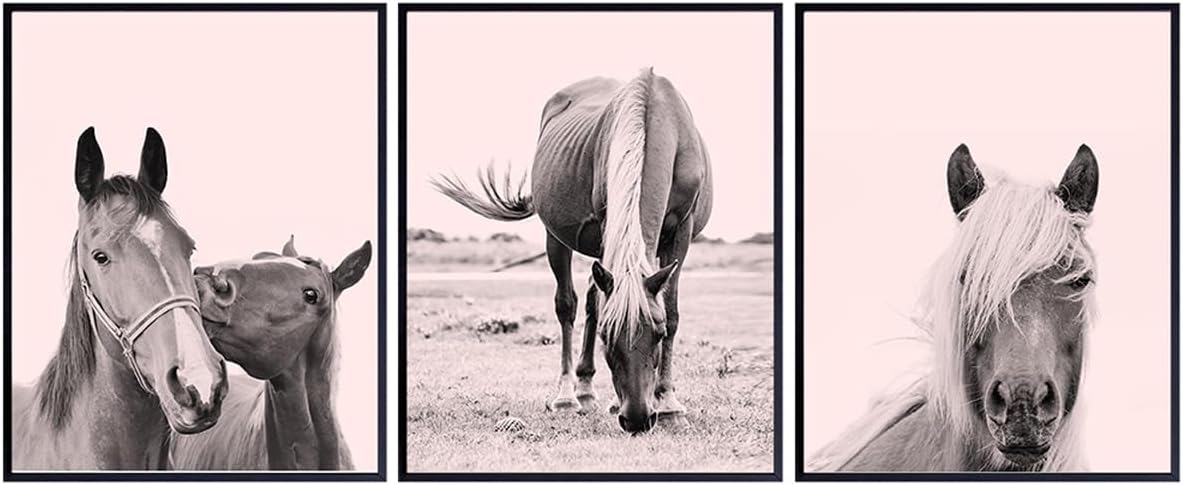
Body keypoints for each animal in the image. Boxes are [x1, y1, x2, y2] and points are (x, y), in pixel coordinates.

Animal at [433, 67, 712, 433]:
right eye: (607, 336)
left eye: (659, 332)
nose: (636, 418)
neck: (655, 119)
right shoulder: (607, 221)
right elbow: (588, 307)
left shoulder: (682, 231)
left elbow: (673, 310)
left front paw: (668, 404)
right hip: (557, 237)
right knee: (569, 304)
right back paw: (571, 394)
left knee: (595, 295)